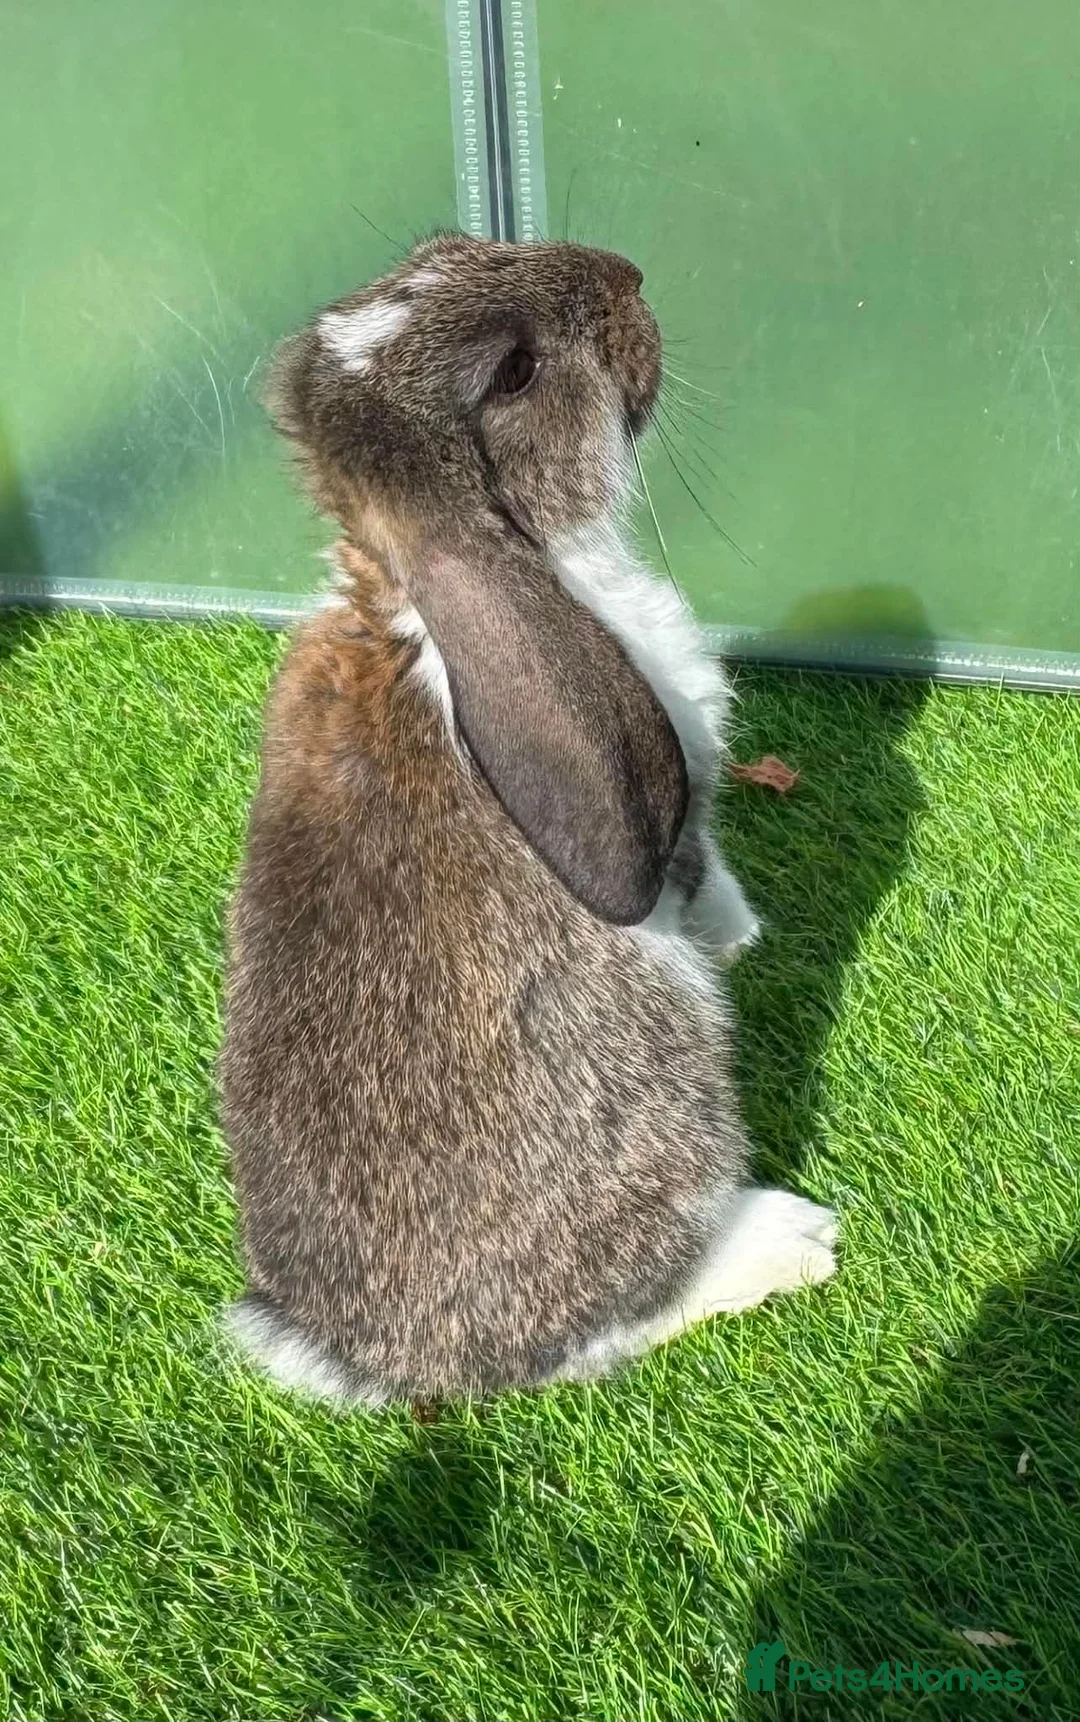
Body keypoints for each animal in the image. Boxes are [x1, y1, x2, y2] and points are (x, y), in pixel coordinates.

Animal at [219, 233, 837, 1406]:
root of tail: (400, 1367)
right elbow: (698, 868)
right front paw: (746, 938)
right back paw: (791, 1239)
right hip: (670, 1084)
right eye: (513, 374)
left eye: (441, 249)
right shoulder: (673, 826)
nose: (629, 276)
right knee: (631, 1313)